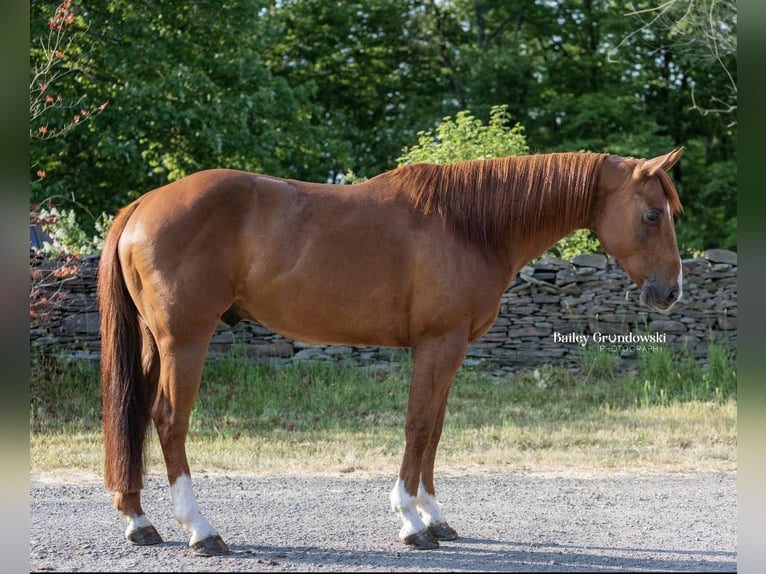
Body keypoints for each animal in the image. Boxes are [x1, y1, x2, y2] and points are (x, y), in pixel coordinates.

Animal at [99, 148, 688, 560]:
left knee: (135, 414)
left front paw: (435, 517)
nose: (671, 292)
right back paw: (201, 531)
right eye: (653, 215)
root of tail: (142, 205)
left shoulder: (451, 349)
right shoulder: (437, 344)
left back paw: (139, 521)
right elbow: (418, 426)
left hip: (156, 344)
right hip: (186, 340)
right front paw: (410, 521)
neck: (469, 225)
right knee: (169, 420)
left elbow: (436, 430)